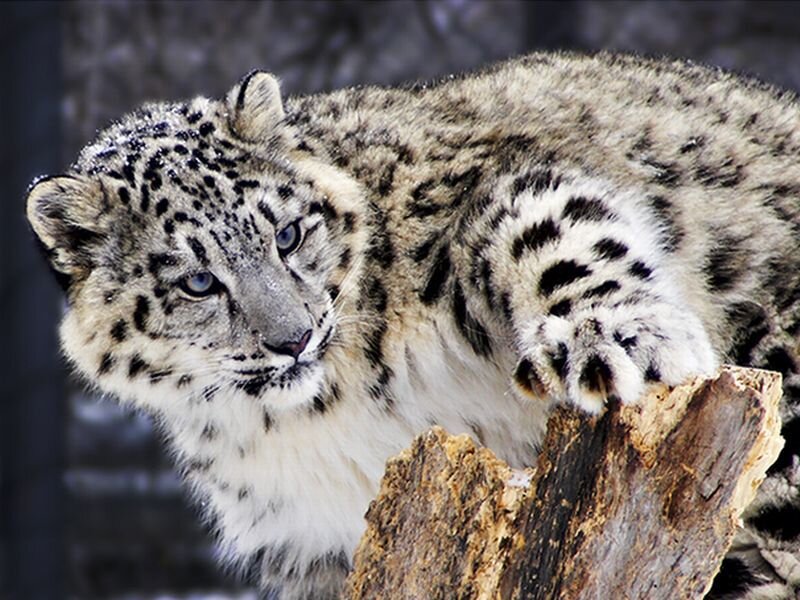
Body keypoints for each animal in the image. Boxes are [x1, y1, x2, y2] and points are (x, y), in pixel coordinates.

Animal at [26, 51, 800, 599]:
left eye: (287, 233)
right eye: (196, 281)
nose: (294, 337)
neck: (320, 417)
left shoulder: (489, 181)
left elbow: (551, 234)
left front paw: (618, 337)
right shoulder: (312, 544)